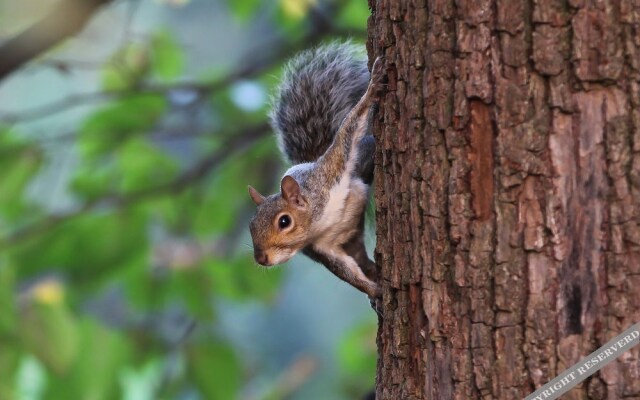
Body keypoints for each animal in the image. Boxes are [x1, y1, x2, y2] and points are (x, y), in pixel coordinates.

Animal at [248, 43, 382, 300]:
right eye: (251, 226)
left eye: (284, 222)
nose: (261, 259)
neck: (319, 221)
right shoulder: (320, 248)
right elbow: (346, 271)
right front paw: (375, 291)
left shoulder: (331, 170)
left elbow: (347, 133)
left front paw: (372, 91)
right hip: (351, 239)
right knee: (358, 257)